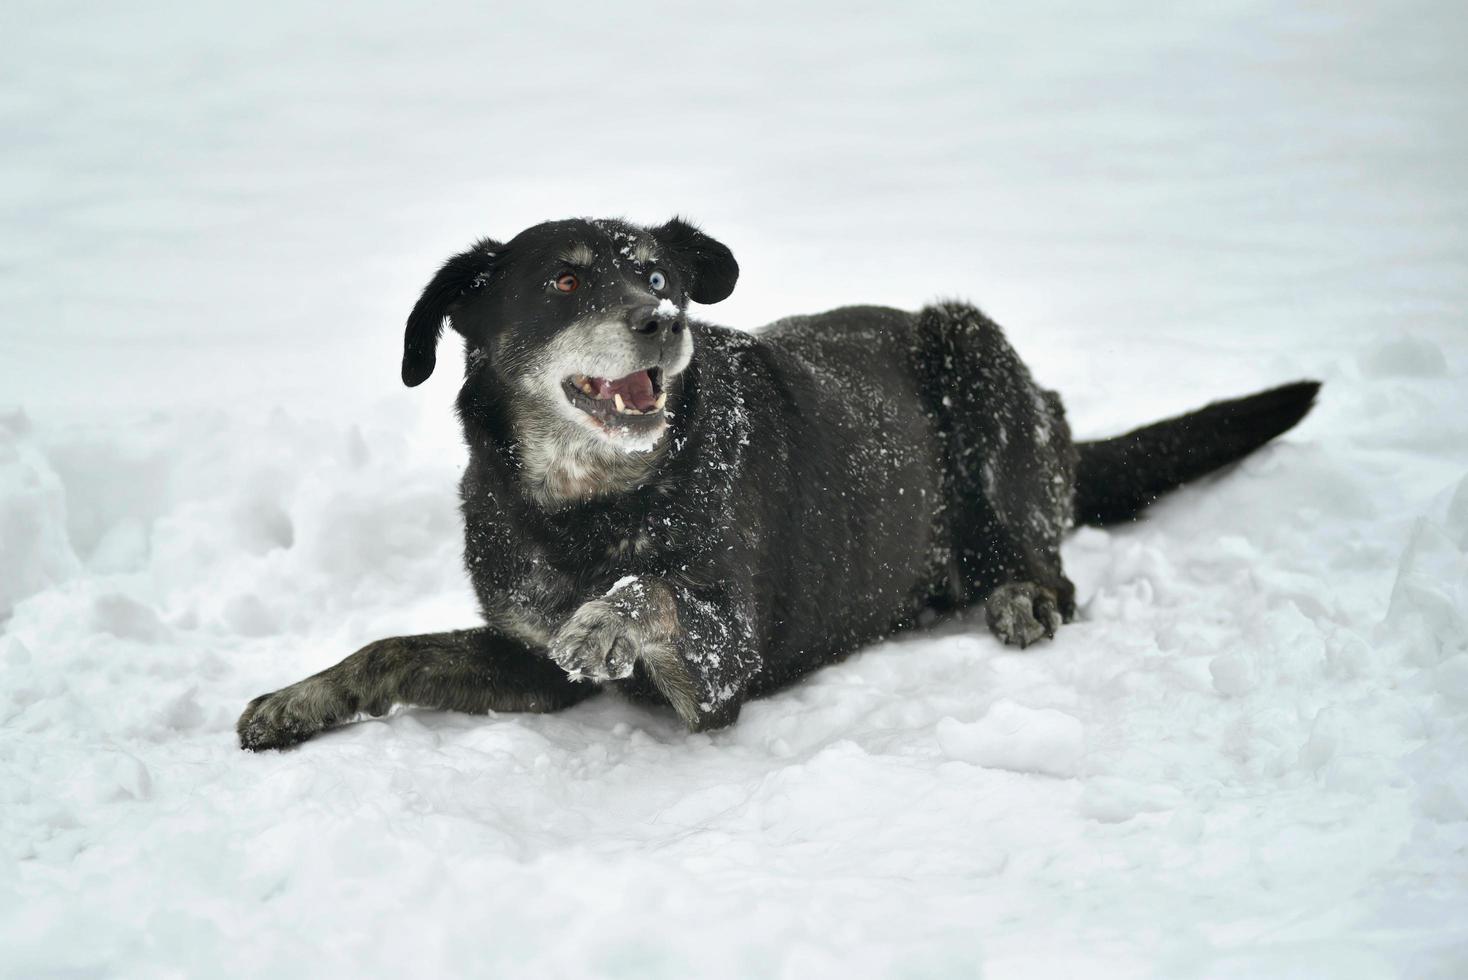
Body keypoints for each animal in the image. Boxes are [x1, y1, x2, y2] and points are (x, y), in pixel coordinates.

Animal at [237, 215, 1321, 751]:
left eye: (658, 275)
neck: (589, 505)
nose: (664, 321)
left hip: (970, 346)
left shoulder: (719, 673)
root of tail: (1059, 420)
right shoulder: (529, 663)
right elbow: (392, 651)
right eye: (564, 280)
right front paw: (295, 702)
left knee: (1054, 568)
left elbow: (653, 587)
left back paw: (1020, 597)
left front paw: (608, 613)